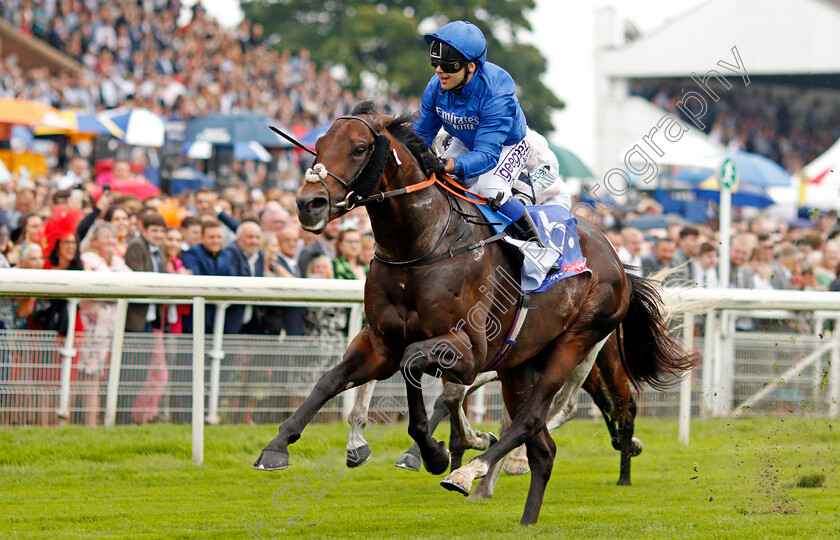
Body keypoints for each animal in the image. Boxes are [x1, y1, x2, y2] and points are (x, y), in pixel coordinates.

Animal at [254, 100, 696, 524]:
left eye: (359, 148)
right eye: (319, 144)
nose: (308, 204)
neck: (423, 245)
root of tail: (618, 260)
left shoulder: (468, 352)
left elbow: (418, 368)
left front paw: (436, 454)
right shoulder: (380, 341)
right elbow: (331, 381)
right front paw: (278, 446)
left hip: (577, 343)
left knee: (540, 416)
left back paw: (473, 472)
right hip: (519, 363)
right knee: (544, 447)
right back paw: (525, 517)